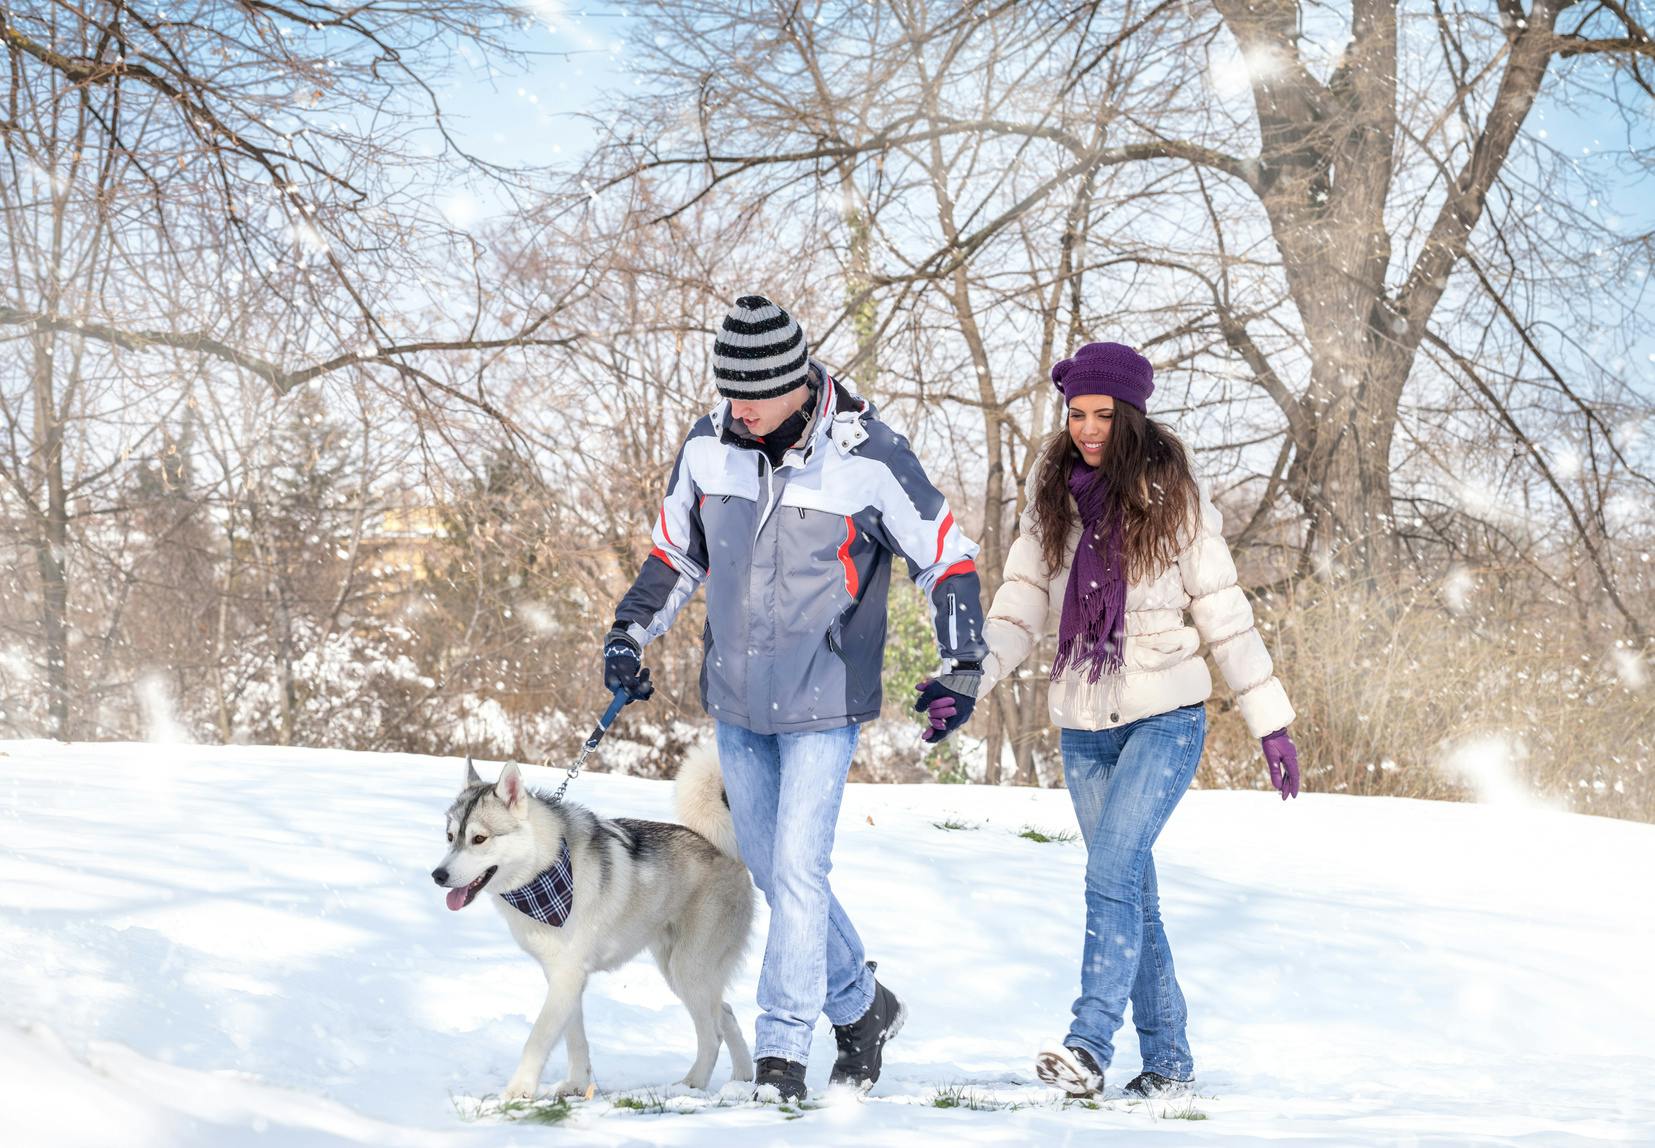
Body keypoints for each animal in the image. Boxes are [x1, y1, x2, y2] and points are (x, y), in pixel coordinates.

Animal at [433, 750, 757, 1104]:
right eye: (450, 837)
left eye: (479, 839)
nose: (438, 875)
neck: (543, 868)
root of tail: (724, 849)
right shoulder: (564, 976)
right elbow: (575, 1039)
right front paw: (576, 1085)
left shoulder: (568, 976)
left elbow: (538, 1038)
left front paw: (519, 1091)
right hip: (680, 972)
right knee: (726, 1013)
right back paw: (742, 1077)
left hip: (689, 971)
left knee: (712, 1034)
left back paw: (689, 1086)